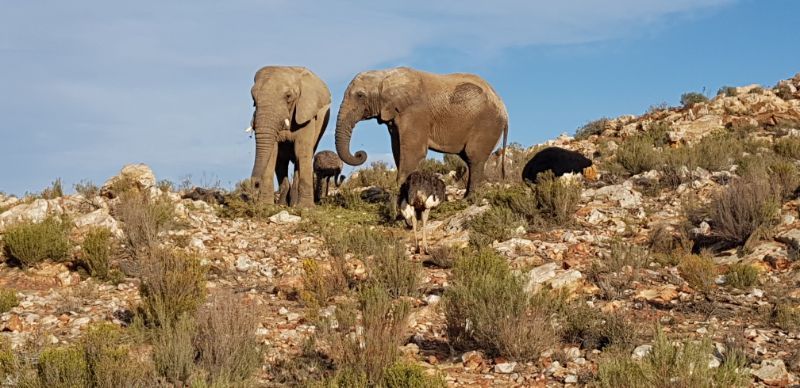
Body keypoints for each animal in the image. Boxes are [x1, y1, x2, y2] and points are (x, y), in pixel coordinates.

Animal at [247, 65, 328, 208]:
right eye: (253, 99)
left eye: (288, 96)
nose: (255, 184)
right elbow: (272, 152)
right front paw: (265, 205)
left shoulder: (306, 114)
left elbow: (302, 151)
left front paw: (306, 207)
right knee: (281, 162)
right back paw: (283, 204)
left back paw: (294, 203)